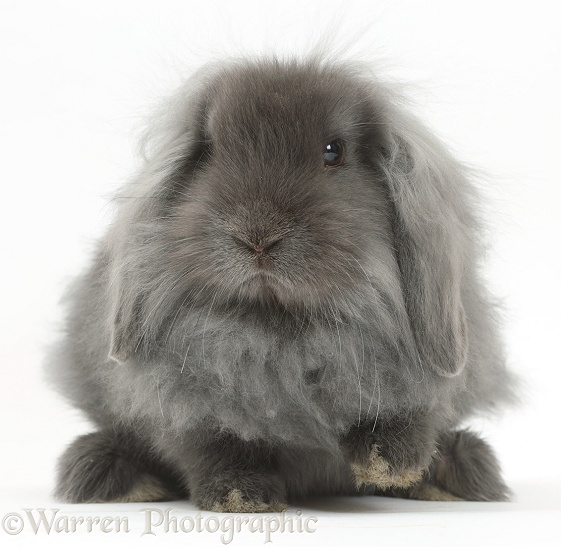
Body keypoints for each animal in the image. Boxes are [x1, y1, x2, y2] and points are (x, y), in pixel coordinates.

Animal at [46, 56, 520, 512]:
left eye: (334, 151)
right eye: (209, 150)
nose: (257, 236)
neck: (282, 333)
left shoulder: (418, 384)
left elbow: (415, 413)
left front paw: (389, 466)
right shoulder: (185, 409)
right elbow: (213, 448)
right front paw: (241, 497)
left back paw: (457, 472)